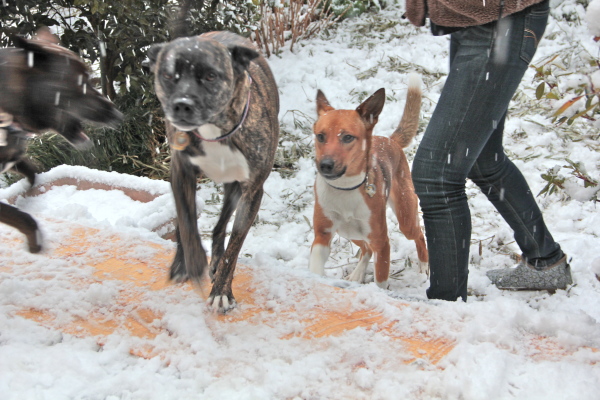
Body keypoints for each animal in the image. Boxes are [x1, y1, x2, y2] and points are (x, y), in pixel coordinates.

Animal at [0, 28, 123, 253]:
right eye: (80, 83)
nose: (118, 116)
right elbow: (24, 218)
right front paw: (35, 244)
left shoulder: (15, 159)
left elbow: (33, 174)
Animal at [148, 32, 282, 312]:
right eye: (168, 75)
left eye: (211, 76)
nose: (182, 105)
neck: (214, 130)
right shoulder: (180, 175)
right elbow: (186, 222)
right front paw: (189, 262)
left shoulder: (252, 191)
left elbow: (235, 245)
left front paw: (221, 291)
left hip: (234, 187)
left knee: (221, 226)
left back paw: (216, 261)